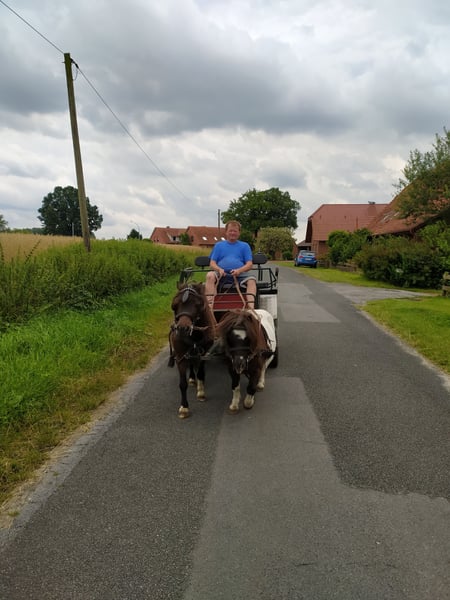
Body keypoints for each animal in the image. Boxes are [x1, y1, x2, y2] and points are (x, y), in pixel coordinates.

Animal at [168, 282, 216, 418]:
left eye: (198, 304)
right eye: (174, 305)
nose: (182, 329)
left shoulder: (204, 353)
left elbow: (201, 373)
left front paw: (201, 392)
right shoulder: (180, 356)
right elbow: (182, 384)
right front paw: (184, 407)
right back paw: (191, 378)